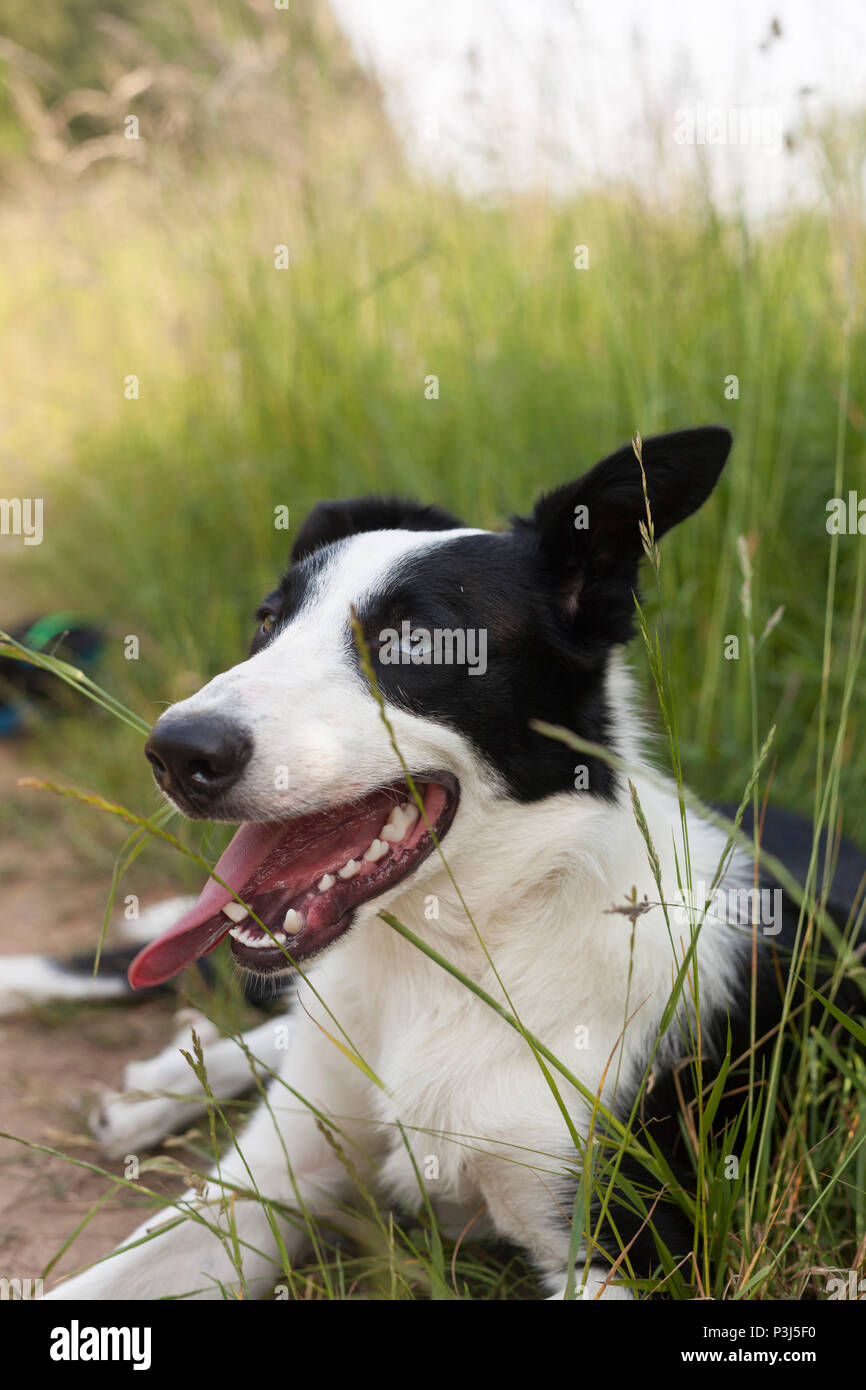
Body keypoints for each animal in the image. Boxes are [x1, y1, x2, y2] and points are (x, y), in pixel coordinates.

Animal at [44, 425, 866, 1301]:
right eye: (267, 622)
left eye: (417, 641)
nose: (176, 752)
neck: (458, 955)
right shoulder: (261, 1190)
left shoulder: (625, 1247)